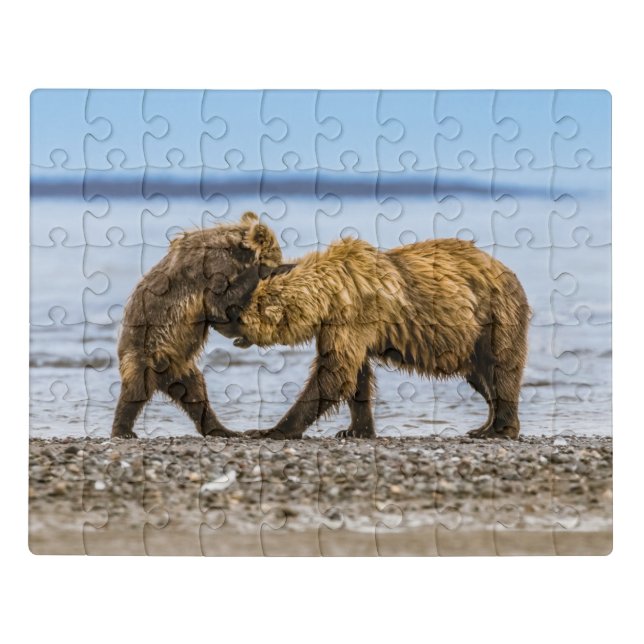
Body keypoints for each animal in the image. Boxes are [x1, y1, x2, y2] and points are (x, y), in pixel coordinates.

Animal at [111, 212, 283, 439]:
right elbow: (218, 303)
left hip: (182, 366)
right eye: (278, 255)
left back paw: (222, 429)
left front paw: (242, 336)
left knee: (196, 396)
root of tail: (163, 379)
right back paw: (123, 430)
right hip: (144, 352)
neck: (236, 253)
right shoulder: (215, 268)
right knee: (135, 390)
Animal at [230, 236, 530, 440]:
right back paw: (484, 426)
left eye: (246, 306)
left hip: (494, 317)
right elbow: (356, 376)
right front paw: (355, 429)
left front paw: (270, 429)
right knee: (481, 377)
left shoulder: (354, 315)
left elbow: (334, 373)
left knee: (502, 370)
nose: (232, 317)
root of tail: (510, 273)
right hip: (473, 339)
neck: (328, 294)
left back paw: (499, 429)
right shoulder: (341, 327)